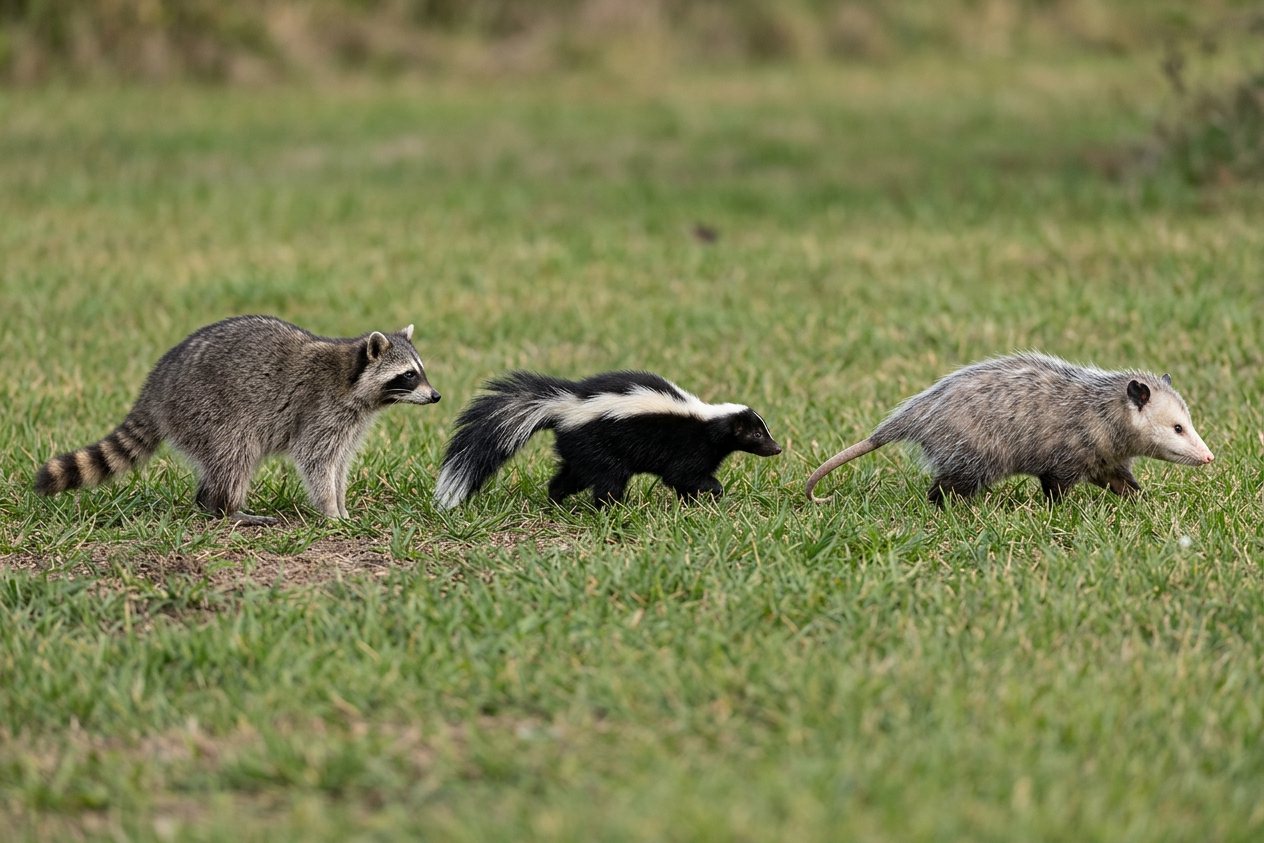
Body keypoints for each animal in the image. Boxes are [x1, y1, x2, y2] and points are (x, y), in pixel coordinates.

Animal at [34, 315, 440, 525]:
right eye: (408, 375)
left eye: (421, 370)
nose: (436, 395)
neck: (352, 379)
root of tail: (156, 385)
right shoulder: (321, 410)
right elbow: (316, 461)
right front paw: (330, 510)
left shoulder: (350, 422)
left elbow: (338, 464)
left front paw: (340, 504)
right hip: (207, 409)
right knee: (236, 452)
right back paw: (227, 509)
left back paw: (208, 502)